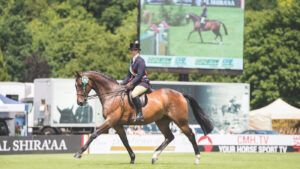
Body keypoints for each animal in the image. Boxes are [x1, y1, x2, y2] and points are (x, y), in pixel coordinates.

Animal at [72, 70, 213, 164]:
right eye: (75, 85)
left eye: (80, 85)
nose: (80, 102)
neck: (112, 95)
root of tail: (180, 94)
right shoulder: (117, 124)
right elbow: (125, 141)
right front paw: (132, 158)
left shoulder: (111, 121)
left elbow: (94, 135)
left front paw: (78, 153)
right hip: (162, 122)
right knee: (169, 137)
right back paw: (154, 157)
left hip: (180, 121)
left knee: (191, 135)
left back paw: (197, 159)